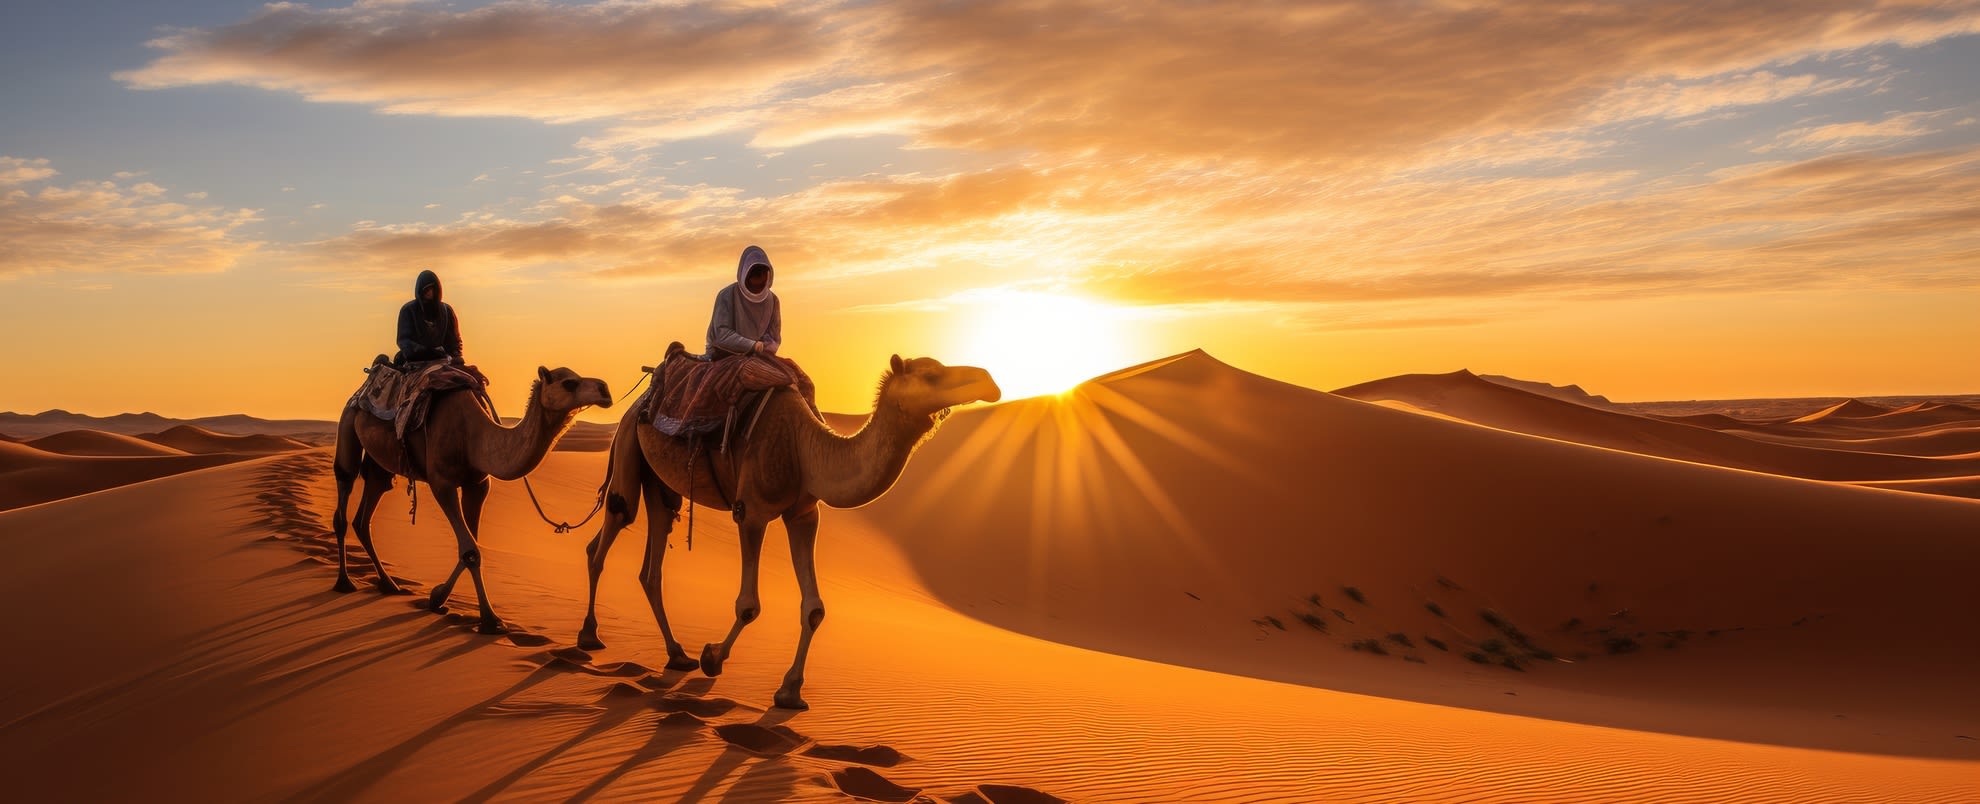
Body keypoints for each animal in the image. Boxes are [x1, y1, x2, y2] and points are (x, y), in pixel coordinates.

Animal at [332, 364, 613, 633]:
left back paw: (389, 584)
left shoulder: (477, 485)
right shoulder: (442, 483)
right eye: (569, 382)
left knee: (367, 511)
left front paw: (437, 597)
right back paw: (344, 582)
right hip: (348, 422)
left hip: (382, 464)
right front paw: (491, 620)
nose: (605, 390)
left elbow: (472, 544)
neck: (474, 438)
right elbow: (470, 550)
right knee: (344, 493)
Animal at [578, 354, 997, 704]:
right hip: (629, 444)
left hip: (661, 484)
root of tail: (640, 400)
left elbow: (813, 609)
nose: (990, 381)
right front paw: (713, 657)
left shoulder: (804, 515)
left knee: (652, 558)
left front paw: (790, 690)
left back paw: (677, 654)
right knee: (610, 530)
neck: (803, 449)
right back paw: (590, 636)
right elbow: (749, 605)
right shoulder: (751, 512)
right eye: (931, 374)